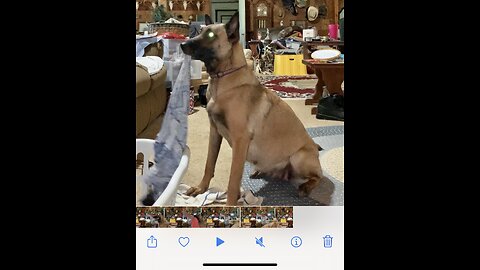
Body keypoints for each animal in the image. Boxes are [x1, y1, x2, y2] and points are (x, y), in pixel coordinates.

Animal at [182, 11, 324, 205]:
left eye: (210, 35)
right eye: (200, 31)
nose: (182, 44)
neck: (224, 77)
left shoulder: (240, 140)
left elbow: (233, 180)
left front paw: (230, 204)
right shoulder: (215, 132)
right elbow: (209, 164)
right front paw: (201, 188)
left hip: (298, 157)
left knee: (319, 177)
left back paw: (306, 187)